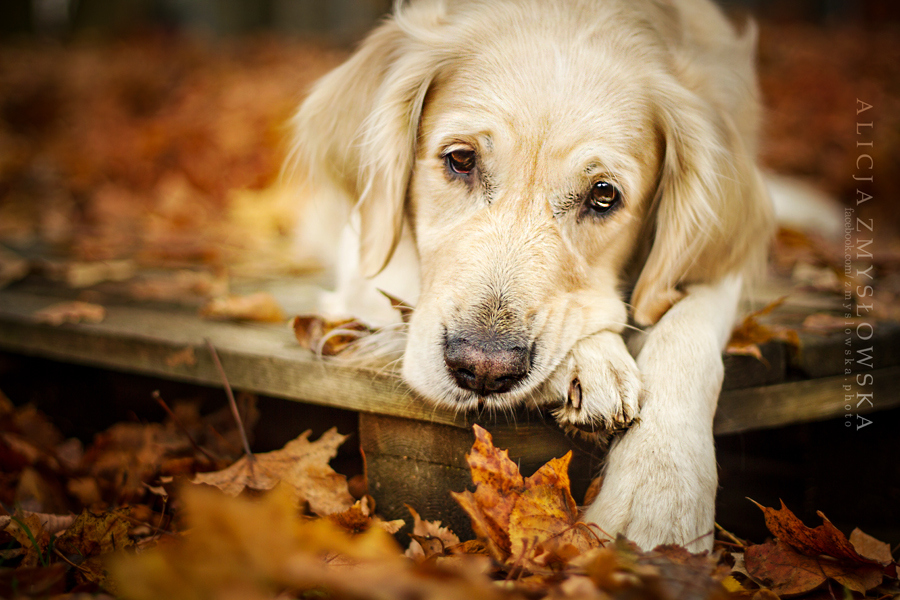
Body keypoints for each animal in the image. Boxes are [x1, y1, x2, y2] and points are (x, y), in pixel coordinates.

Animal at [288, 0, 772, 552]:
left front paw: (661, 491)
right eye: (460, 159)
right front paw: (595, 360)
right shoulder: (366, 261)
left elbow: (687, 330)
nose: (483, 368)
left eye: (604, 195)